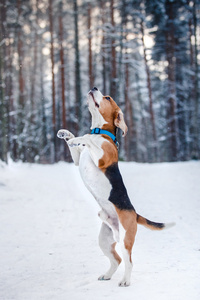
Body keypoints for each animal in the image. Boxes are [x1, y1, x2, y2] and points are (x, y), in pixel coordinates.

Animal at [57, 86, 174, 286]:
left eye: (108, 97)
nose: (94, 87)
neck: (100, 131)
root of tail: (135, 213)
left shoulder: (102, 158)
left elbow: (87, 137)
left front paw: (78, 138)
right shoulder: (78, 159)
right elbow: (78, 144)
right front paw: (67, 135)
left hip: (126, 239)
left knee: (128, 261)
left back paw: (125, 281)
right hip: (105, 239)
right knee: (117, 260)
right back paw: (107, 274)